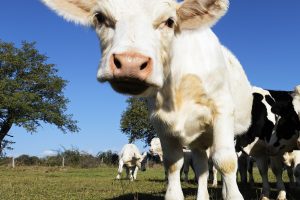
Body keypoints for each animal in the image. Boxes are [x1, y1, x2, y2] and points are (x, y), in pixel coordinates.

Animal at [42, 0, 253, 199]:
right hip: (197, 141)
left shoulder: (222, 109)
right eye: (100, 17)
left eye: (170, 21)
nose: (130, 63)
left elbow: (225, 161)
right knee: (201, 168)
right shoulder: (161, 122)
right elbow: (173, 164)